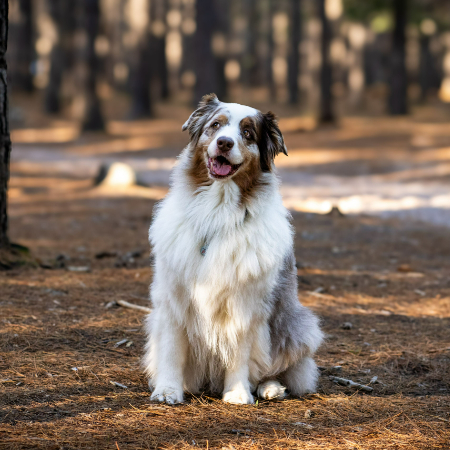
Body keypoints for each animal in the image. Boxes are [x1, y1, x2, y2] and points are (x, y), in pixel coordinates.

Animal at [142, 94, 322, 404]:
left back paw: (270, 388)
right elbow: (172, 349)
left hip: (297, 326)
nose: (225, 143)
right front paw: (167, 390)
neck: (218, 211)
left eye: (247, 133)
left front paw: (237, 393)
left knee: (277, 367)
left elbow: (240, 352)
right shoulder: (173, 296)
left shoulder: (246, 303)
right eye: (216, 125)